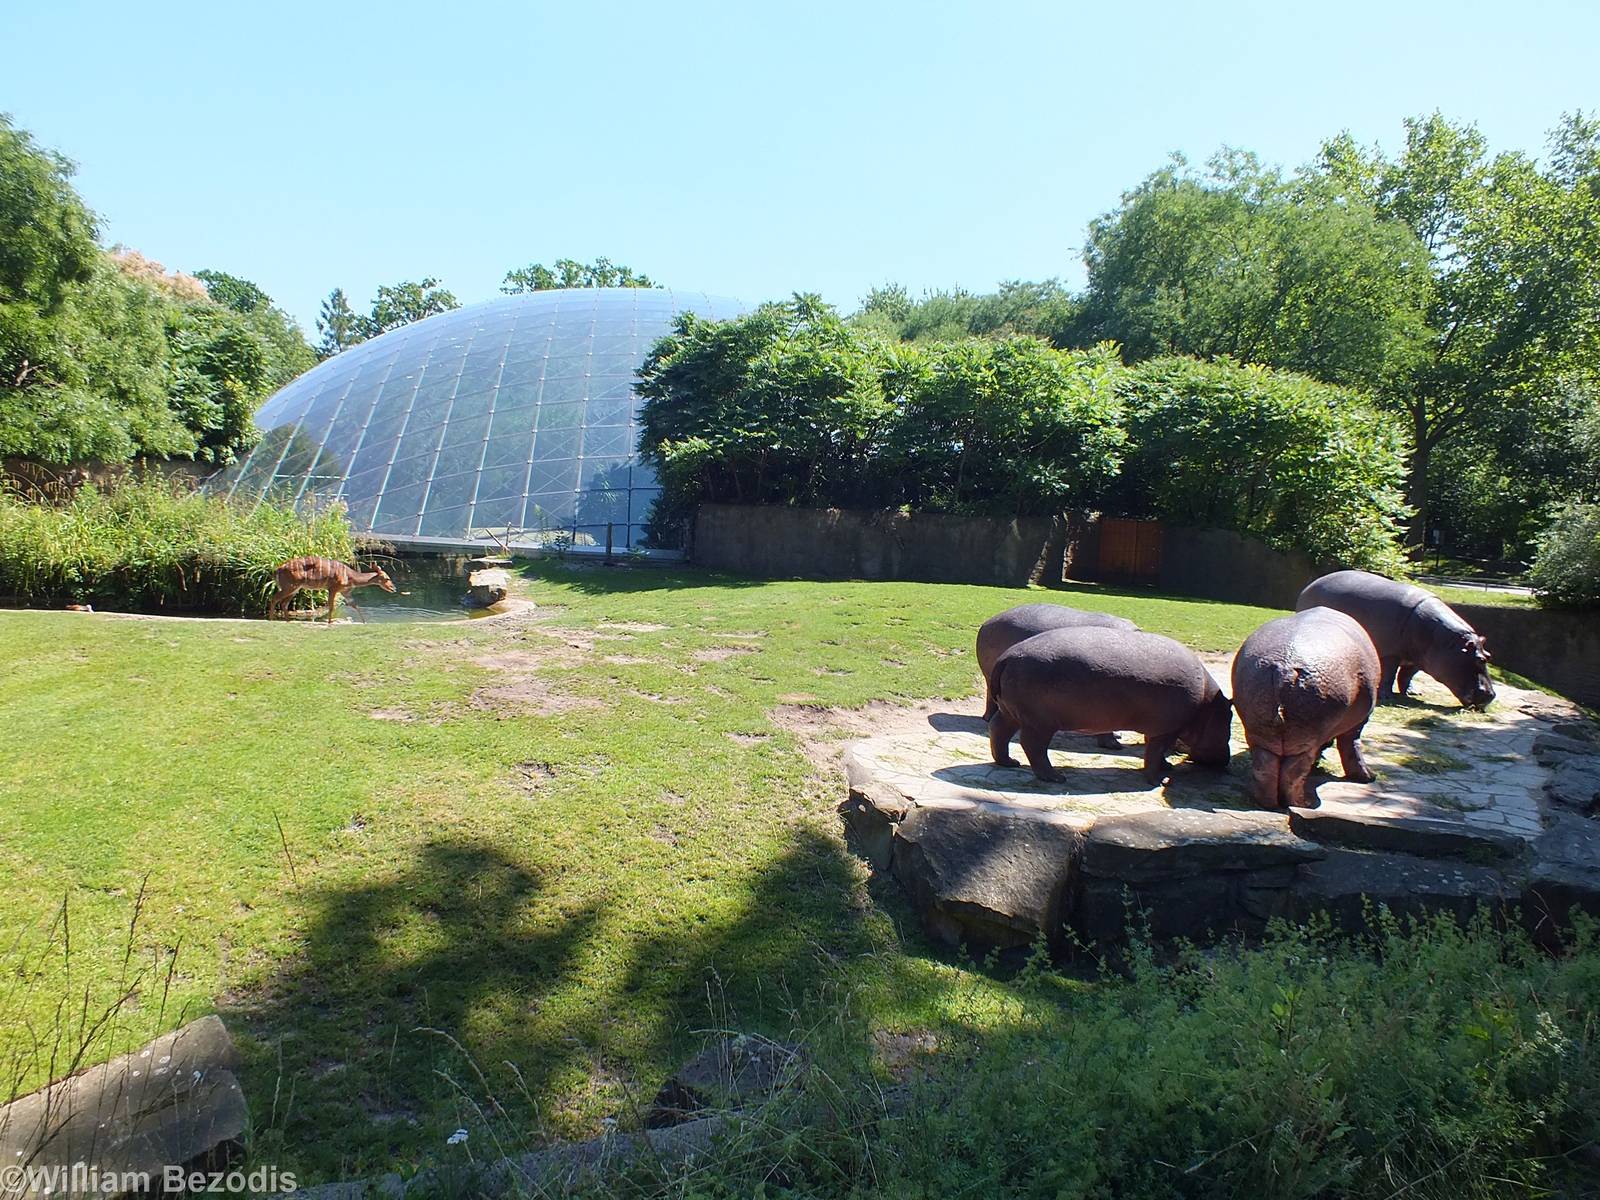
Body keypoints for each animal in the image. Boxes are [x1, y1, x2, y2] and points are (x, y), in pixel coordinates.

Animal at [988, 626, 1233, 783]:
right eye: (1227, 725)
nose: (1225, 762)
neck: (1206, 706)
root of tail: (1007, 656)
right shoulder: (1167, 729)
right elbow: (1155, 752)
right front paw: (1157, 781)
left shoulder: (1162, 729)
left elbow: (1157, 750)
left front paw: (1167, 768)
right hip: (1040, 723)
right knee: (1033, 746)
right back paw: (1056, 777)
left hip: (1011, 712)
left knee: (999, 730)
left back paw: (1009, 763)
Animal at [1232, 607, 1380, 810]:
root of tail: (1285, 668)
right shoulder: (1359, 722)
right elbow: (1352, 745)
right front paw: (1368, 777)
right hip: (1307, 739)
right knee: (1295, 771)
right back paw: (1304, 803)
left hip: (1259, 732)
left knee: (1265, 767)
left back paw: (1266, 801)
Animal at [1295, 570, 1494, 708]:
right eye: (1480, 659)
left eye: (1488, 656)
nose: (1492, 695)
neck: (1448, 643)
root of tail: (1309, 586)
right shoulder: (1391, 653)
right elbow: (1389, 674)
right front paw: (1387, 696)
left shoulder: (1419, 660)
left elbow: (1406, 675)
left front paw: (1413, 693)